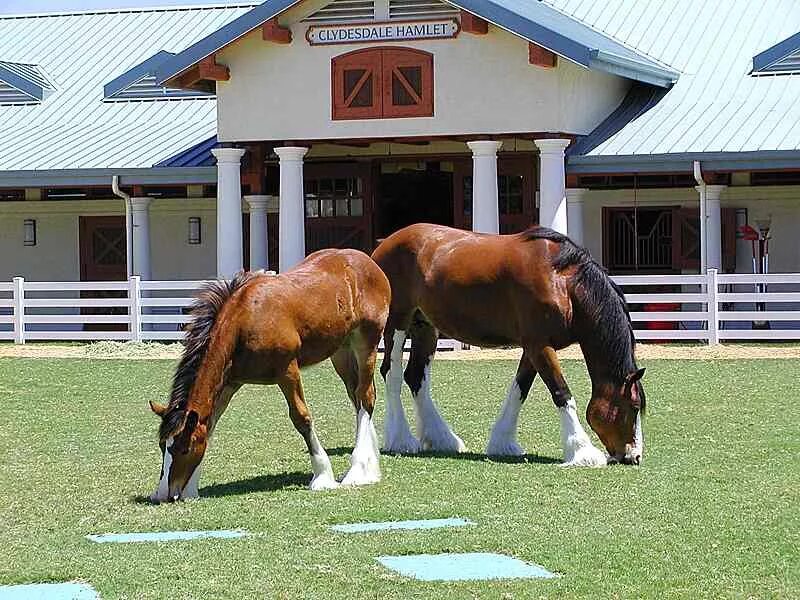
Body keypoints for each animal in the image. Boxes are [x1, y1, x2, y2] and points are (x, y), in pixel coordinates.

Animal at [148, 248, 392, 502]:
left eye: (184, 448)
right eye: (162, 446)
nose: (163, 494)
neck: (245, 321)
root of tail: (367, 261)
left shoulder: (288, 371)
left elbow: (301, 418)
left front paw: (322, 476)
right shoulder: (229, 383)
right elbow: (211, 424)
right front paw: (191, 489)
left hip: (366, 342)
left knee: (365, 397)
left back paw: (358, 470)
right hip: (342, 352)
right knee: (357, 399)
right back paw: (369, 465)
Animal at [374, 223, 644, 466]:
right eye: (634, 406)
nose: (634, 456)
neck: (561, 281)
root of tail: (385, 243)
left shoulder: (533, 348)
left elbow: (519, 389)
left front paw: (503, 442)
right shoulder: (539, 345)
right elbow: (561, 393)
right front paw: (582, 451)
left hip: (425, 327)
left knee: (415, 377)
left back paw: (443, 438)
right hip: (398, 322)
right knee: (392, 373)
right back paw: (401, 439)